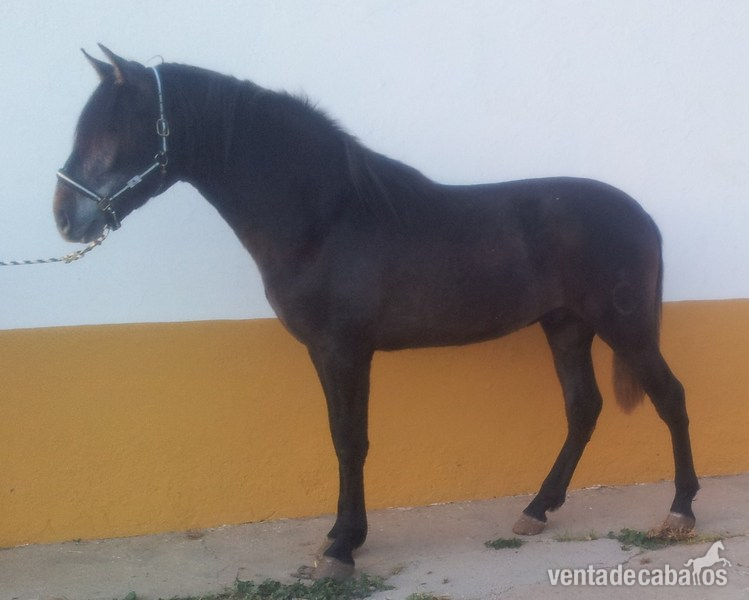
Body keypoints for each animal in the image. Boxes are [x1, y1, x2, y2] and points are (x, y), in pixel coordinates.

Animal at [53, 46, 699, 579]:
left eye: (113, 132)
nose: (63, 217)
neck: (327, 219)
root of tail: (640, 216)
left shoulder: (344, 349)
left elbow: (349, 439)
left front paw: (342, 546)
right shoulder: (326, 350)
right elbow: (343, 436)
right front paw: (344, 536)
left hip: (625, 327)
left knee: (669, 397)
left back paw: (680, 511)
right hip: (566, 326)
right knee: (583, 407)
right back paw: (537, 509)